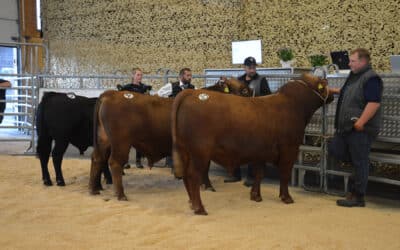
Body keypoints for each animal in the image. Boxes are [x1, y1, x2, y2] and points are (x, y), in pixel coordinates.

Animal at [90, 78, 250, 199]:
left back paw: (94, 189)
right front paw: (208, 186)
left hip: (104, 139)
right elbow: (205, 168)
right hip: (121, 142)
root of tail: (110, 94)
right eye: (244, 91)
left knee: (97, 158)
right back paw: (121, 195)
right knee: (115, 163)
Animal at [172, 73, 334, 215]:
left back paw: (192, 204)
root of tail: (192, 93)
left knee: (186, 176)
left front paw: (256, 195)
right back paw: (199, 208)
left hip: (185, 151)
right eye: (323, 84)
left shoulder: (261, 151)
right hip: (200, 152)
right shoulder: (289, 149)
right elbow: (284, 174)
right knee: (193, 176)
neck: (293, 104)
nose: (332, 95)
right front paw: (286, 197)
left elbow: (259, 174)